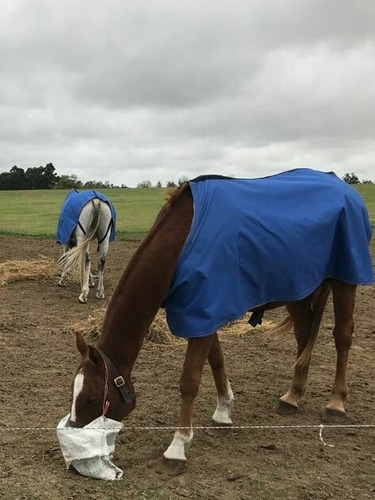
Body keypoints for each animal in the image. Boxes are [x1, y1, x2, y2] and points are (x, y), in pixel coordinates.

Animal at [68, 172, 374, 472]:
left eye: (92, 398)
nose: (74, 448)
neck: (183, 240)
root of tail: (345, 190)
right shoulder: (204, 313)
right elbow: (216, 360)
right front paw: (223, 412)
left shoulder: (203, 309)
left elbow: (190, 380)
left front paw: (177, 448)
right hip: (299, 289)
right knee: (303, 336)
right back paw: (293, 396)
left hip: (344, 282)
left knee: (342, 337)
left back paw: (336, 403)